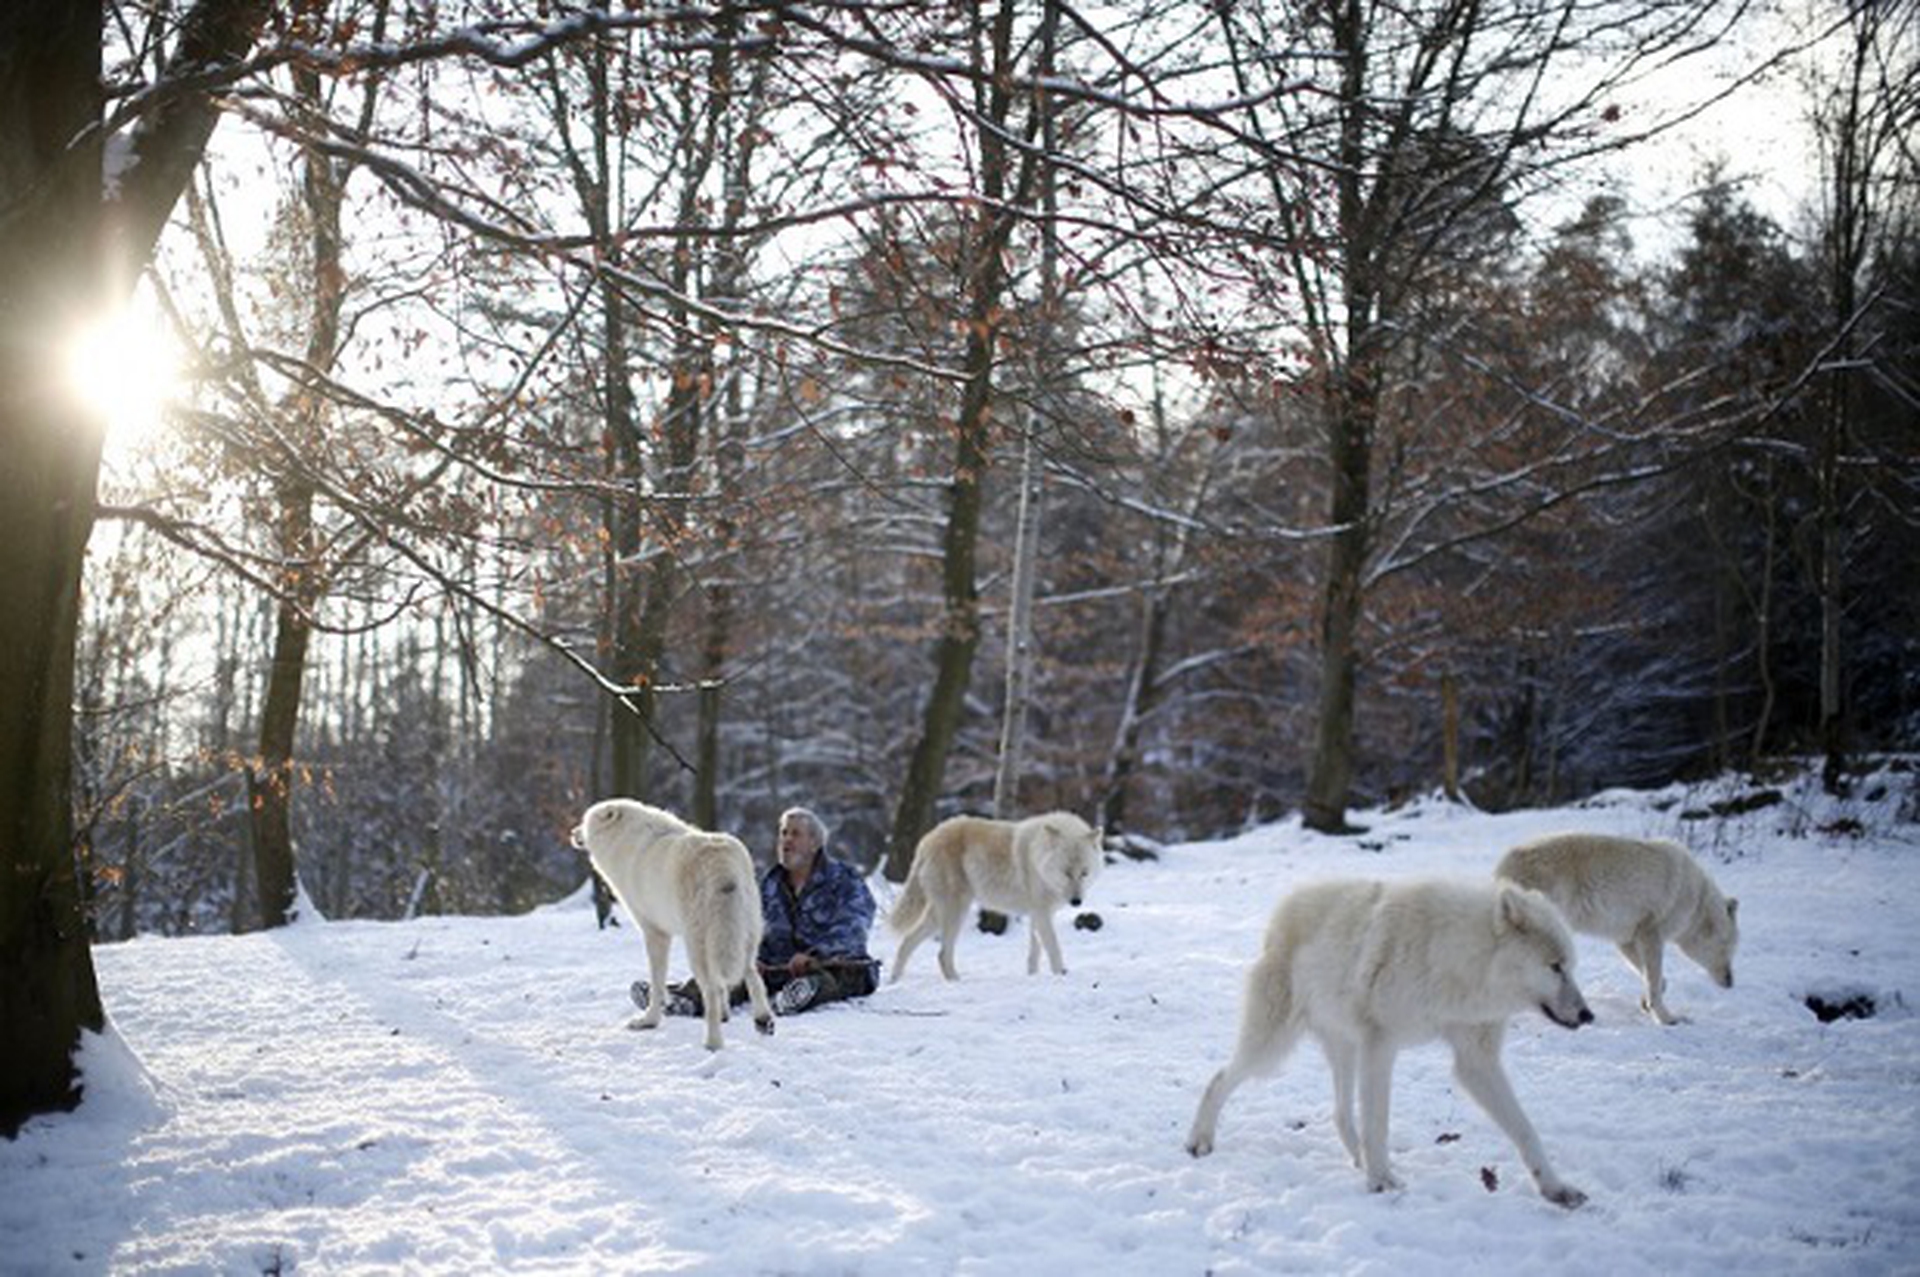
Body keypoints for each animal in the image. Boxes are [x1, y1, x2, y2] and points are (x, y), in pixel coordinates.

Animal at [568, 802, 771, 1052]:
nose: (572, 833)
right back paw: (763, 1020)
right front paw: (726, 1015)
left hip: (697, 948)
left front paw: (649, 1021)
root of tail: (721, 863)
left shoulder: (655, 932)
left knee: (712, 990)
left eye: (584, 821)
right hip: (744, 939)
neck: (624, 839)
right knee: (753, 975)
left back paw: (713, 1043)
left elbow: (657, 982)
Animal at [890, 810, 1105, 979]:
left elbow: (1035, 952)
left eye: (1084, 873)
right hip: (955, 912)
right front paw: (1060, 975)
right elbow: (1053, 948)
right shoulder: (1041, 914)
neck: (1038, 856)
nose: (1076, 901)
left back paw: (894, 981)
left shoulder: (1037, 915)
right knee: (942, 955)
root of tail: (927, 840)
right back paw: (956, 982)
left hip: (939, 915)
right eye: (1066, 872)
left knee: (906, 942)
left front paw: (1033, 977)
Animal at [1182, 875, 1589, 1205]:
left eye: (1570, 966)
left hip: (1345, 1050)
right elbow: (1378, 1123)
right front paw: (1381, 1182)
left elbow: (1525, 1130)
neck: (1456, 961)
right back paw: (1199, 1141)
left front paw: (1556, 1189)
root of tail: (1280, 913)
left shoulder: (1476, 1060)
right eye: (1555, 967)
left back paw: (1357, 1159)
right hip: (1272, 1049)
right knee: (1219, 1078)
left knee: (1340, 1112)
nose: (1587, 1015)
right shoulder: (1381, 1045)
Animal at [1497, 825, 1743, 1029]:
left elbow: (1653, 978)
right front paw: (1667, 1018)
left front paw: (1646, 1003)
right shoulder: (1651, 936)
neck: (1697, 900)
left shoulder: (1626, 940)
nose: (1731, 983)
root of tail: (1504, 863)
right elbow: (1654, 980)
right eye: (1729, 948)